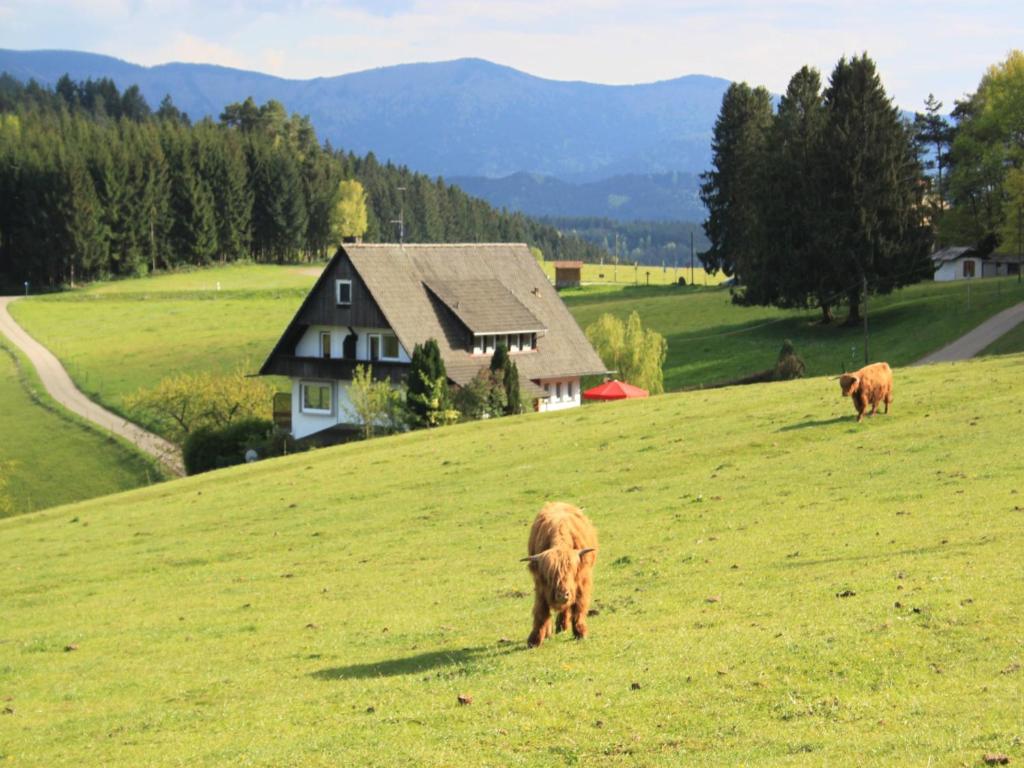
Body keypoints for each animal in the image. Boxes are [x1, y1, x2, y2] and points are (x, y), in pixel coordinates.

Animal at [520, 505, 598, 651]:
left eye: (572, 572)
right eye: (550, 575)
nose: (562, 595)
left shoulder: (582, 583)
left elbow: (579, 607)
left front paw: (580, 633)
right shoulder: (541, 586)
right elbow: (541, 611)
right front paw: (535, 639)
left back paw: (562, 626)